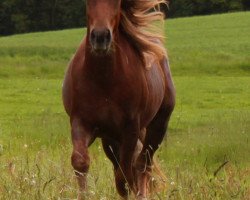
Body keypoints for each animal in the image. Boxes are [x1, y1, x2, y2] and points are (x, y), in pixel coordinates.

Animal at [63, 0, 176, 198]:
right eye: (88, 2)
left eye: (117, 2)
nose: (100, 37)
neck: (103, 79)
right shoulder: (80, 122)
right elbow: (80, 161)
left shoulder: (130, 128)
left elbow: (125, 173)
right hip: (110, 139)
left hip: (158, 125)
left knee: (142, 164)